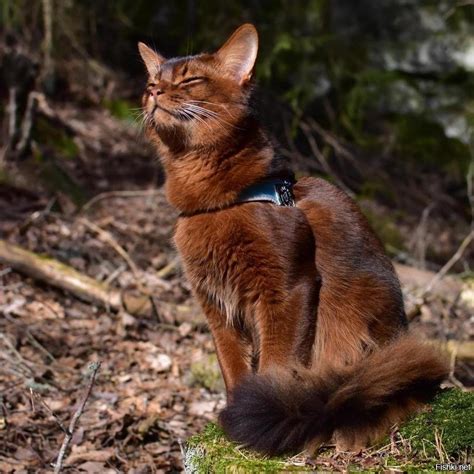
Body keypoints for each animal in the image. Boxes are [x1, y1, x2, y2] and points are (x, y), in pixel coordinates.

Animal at [137, 23, 448, 456]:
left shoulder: (287, 288)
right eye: (151, 81)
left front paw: (264, 415)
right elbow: (233, 366)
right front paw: (236, 418)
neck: (216, 203)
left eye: (189, 80)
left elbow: (276, 364)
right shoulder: (215, 305)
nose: (153, 92)